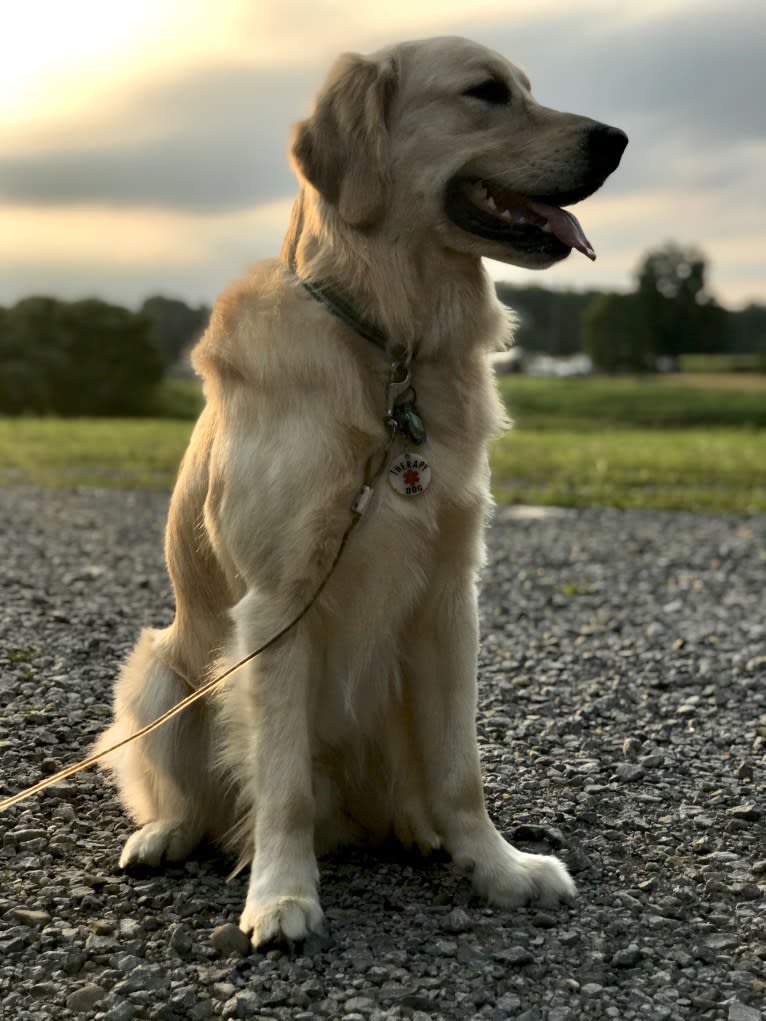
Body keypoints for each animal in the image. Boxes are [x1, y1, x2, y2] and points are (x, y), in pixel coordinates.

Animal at [97, 35, 625, 943]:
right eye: (487, 93)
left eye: (527, 88)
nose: (618, 140)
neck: (389, 343)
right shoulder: (278, 604)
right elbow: (282, 781)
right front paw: (281, 894)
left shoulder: (451, 597)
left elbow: (461, 771)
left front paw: (498, 867)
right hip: (160, 668)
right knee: (188, 794)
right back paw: (165, 834)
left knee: (409, 794)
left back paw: (419, 832)